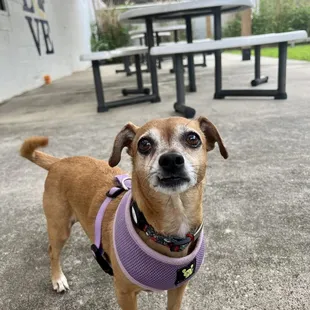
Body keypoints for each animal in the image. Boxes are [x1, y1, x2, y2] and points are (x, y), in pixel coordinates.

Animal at [20, 117, 228, 310]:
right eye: (144, 144)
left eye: (193, 138)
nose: (170, 160)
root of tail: (59, 162)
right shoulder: (125, 294)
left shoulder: (178, 289)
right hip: (60, 227)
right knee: (53, 251)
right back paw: (58, 279)